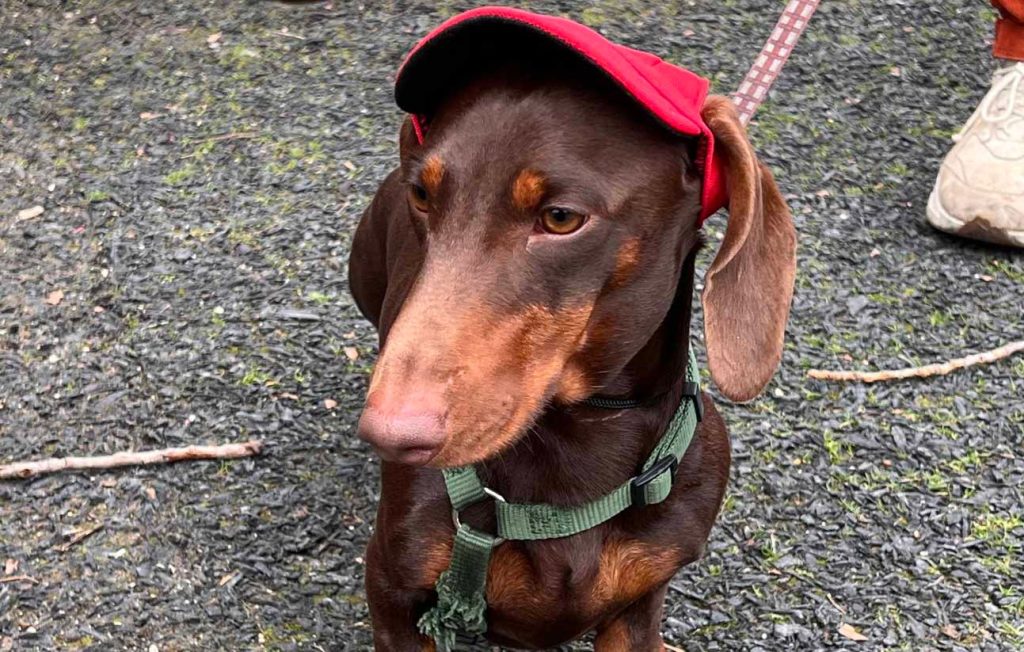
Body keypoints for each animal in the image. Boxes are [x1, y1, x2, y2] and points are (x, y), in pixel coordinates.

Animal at [348, 54, 794, 646]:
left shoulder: (638, 606)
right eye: (421, 196)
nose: (388, 435)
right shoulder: (393, 590)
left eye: (561, 218)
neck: (580, 434)